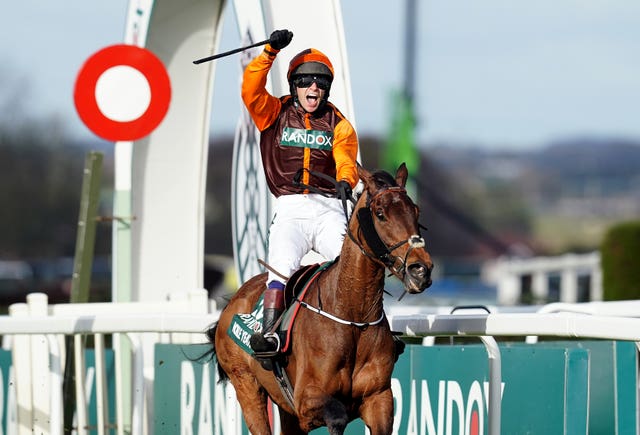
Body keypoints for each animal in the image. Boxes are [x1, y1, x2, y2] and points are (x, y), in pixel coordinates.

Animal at [208, 164, 432, 435]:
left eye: (416, 211)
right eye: (380, 214)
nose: (420, 270)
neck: (352, 315)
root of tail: (233, 301)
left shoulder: (379, 399)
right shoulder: (306, 400)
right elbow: (337, 416)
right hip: (246, 385)